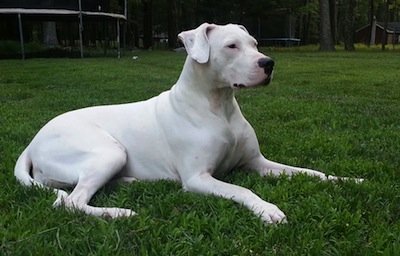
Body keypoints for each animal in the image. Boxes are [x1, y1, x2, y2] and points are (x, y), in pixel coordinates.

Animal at [14, 24, 360, 224]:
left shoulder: (257, 162)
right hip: (107, 151)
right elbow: (242, 189)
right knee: (71, 202)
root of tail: (32, 142)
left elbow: (311, 172)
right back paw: (118, 213)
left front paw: (347, 179)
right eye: (232, 46)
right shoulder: (198, 178)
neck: (219, 106)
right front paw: (267, 209)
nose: (269, 63)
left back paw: (129, 183)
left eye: (254, 43)